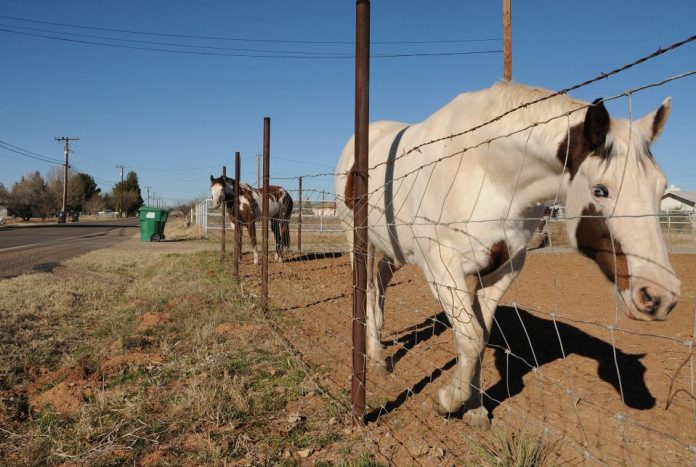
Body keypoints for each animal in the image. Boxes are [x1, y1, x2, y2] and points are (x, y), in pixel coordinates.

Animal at [334, 81, 684, 428]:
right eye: (600, 190)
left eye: (661, 187)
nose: (659, 296)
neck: (486, 171)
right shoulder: (443, 268)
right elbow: (471, 337)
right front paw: (448, 401)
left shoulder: (503, 268)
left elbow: (480, 336)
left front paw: (475, 409)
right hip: (358, 240)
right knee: (366, 290)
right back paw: (375, 358)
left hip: (395, 248)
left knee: (381, 282)